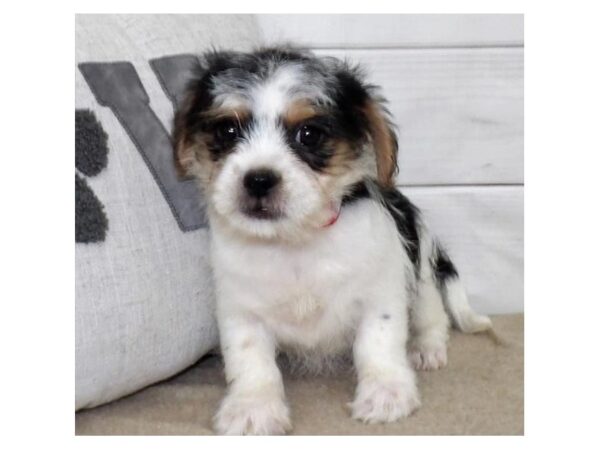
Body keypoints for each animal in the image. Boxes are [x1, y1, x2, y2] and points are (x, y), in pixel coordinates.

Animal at [173, 46, 492, 436]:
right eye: (227, 129)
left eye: (309, 134)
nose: (259, 180)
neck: (295, 242)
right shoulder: (240, 311)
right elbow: (251, 361)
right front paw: (252, 407)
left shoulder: (380, 297)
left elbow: (378, 344)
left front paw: (386, 392)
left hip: (423, 280)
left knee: (433, 318)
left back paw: (426, 349)